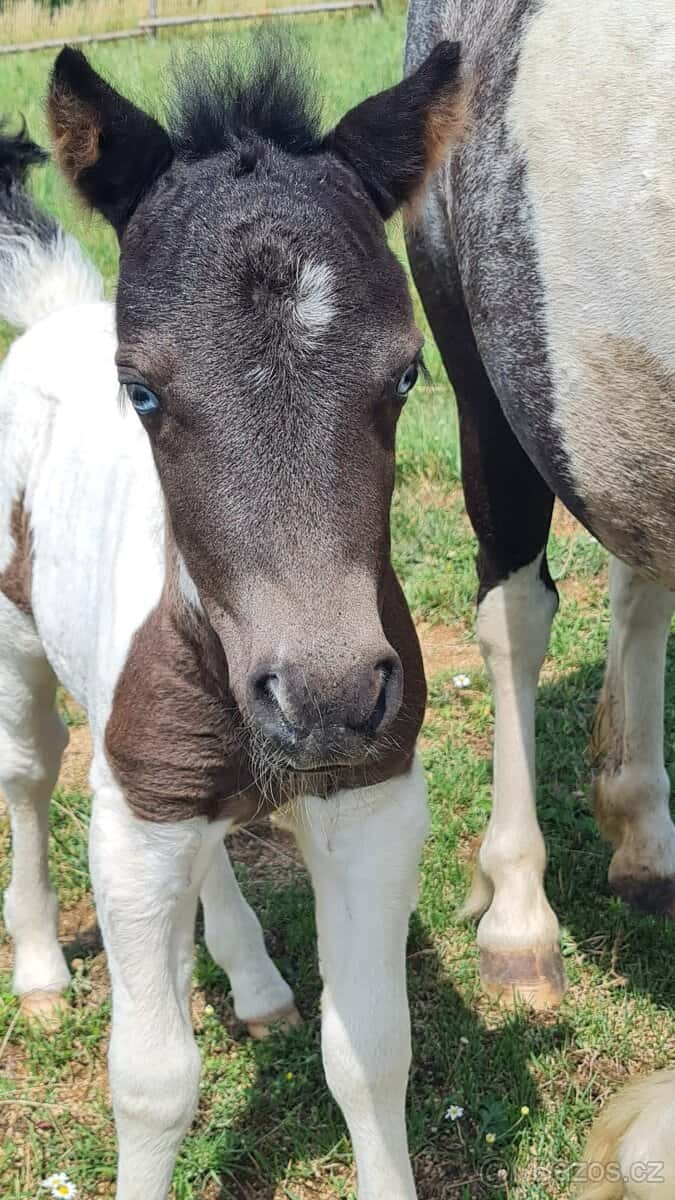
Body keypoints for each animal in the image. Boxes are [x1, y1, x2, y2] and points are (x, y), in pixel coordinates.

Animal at [0, 39, 466, 1200]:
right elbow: (152, 1081)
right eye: (142, 392)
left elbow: (372, 1054)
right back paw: (39, 969)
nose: (327, 696)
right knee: (28, 777)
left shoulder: (372, 801)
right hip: (23, 660)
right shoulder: (133, 823)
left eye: (407, 374)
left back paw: (252, 981)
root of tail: (59, 310)